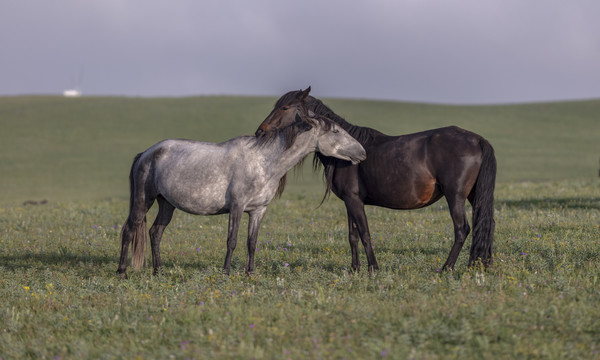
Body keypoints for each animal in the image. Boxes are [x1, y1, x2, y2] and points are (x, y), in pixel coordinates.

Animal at [117, 114, 366, 278]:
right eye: (335, 131)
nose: (362, 153)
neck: (264, 162)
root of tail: (147, 153)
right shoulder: (236, 207)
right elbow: (232, 240)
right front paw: (226, 272)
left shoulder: (258, 210)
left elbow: (251, 242)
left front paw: (250, 273)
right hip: (144, 200)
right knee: (130, 230)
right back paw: (122, 271)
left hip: (167, 204)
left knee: (155, 232)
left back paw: (157, 271)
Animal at [255, 88, 494, 272]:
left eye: (285, 108)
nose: (260, 131)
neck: (343, 151)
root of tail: (478, 140)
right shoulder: (350, 201)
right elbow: (352, 235)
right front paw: (354, 269)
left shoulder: (354, 200)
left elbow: (364, 233)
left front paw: (373, 268)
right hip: (473, 196)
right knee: (485, 224)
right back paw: (480, 265)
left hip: (455, 196)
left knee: (462, 229)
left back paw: (447, 268)